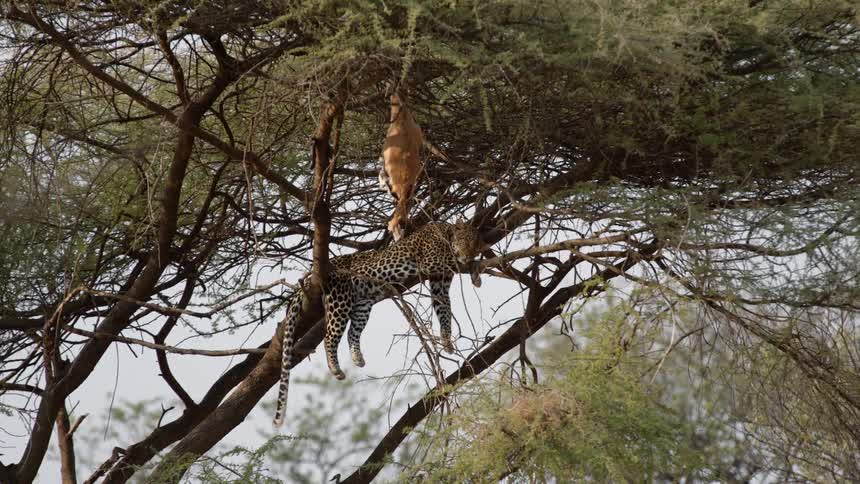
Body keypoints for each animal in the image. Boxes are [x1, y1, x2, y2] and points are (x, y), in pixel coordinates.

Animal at [272, 221, 483, 426]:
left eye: (475, 244)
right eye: (465, 241)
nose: (469, 254)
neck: (446, 233)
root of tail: (314, 274)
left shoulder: (440, 283)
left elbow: (444, 312)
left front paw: (447, 341)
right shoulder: (430, 261)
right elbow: (451, 261)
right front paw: (473, 267)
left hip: (362, 303)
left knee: (352, 333)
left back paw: (357, 358)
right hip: (340, 299)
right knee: (329, 336)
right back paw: (335, 369)